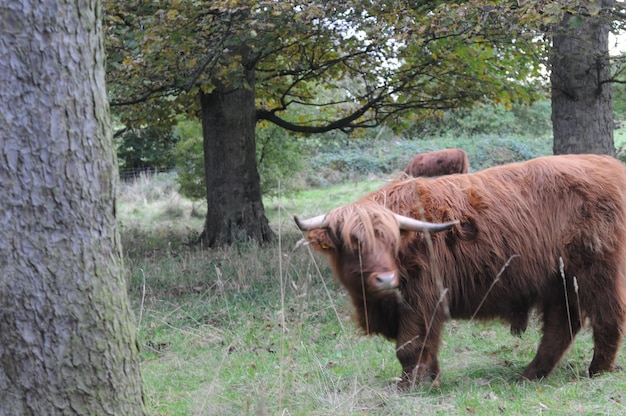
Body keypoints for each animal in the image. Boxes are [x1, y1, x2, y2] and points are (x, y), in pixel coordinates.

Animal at [294, 154, 624, 388]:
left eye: (391, 241)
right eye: (353, 243)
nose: (386, 279)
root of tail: (610, 166)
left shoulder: (422, 297)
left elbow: (410, 346)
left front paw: (408, 386)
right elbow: (427, 345)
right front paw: (431, 379)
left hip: (597, 270)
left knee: (607, 316)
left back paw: (597, 370)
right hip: (559, 280)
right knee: (562, 324)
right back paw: (532, 374)